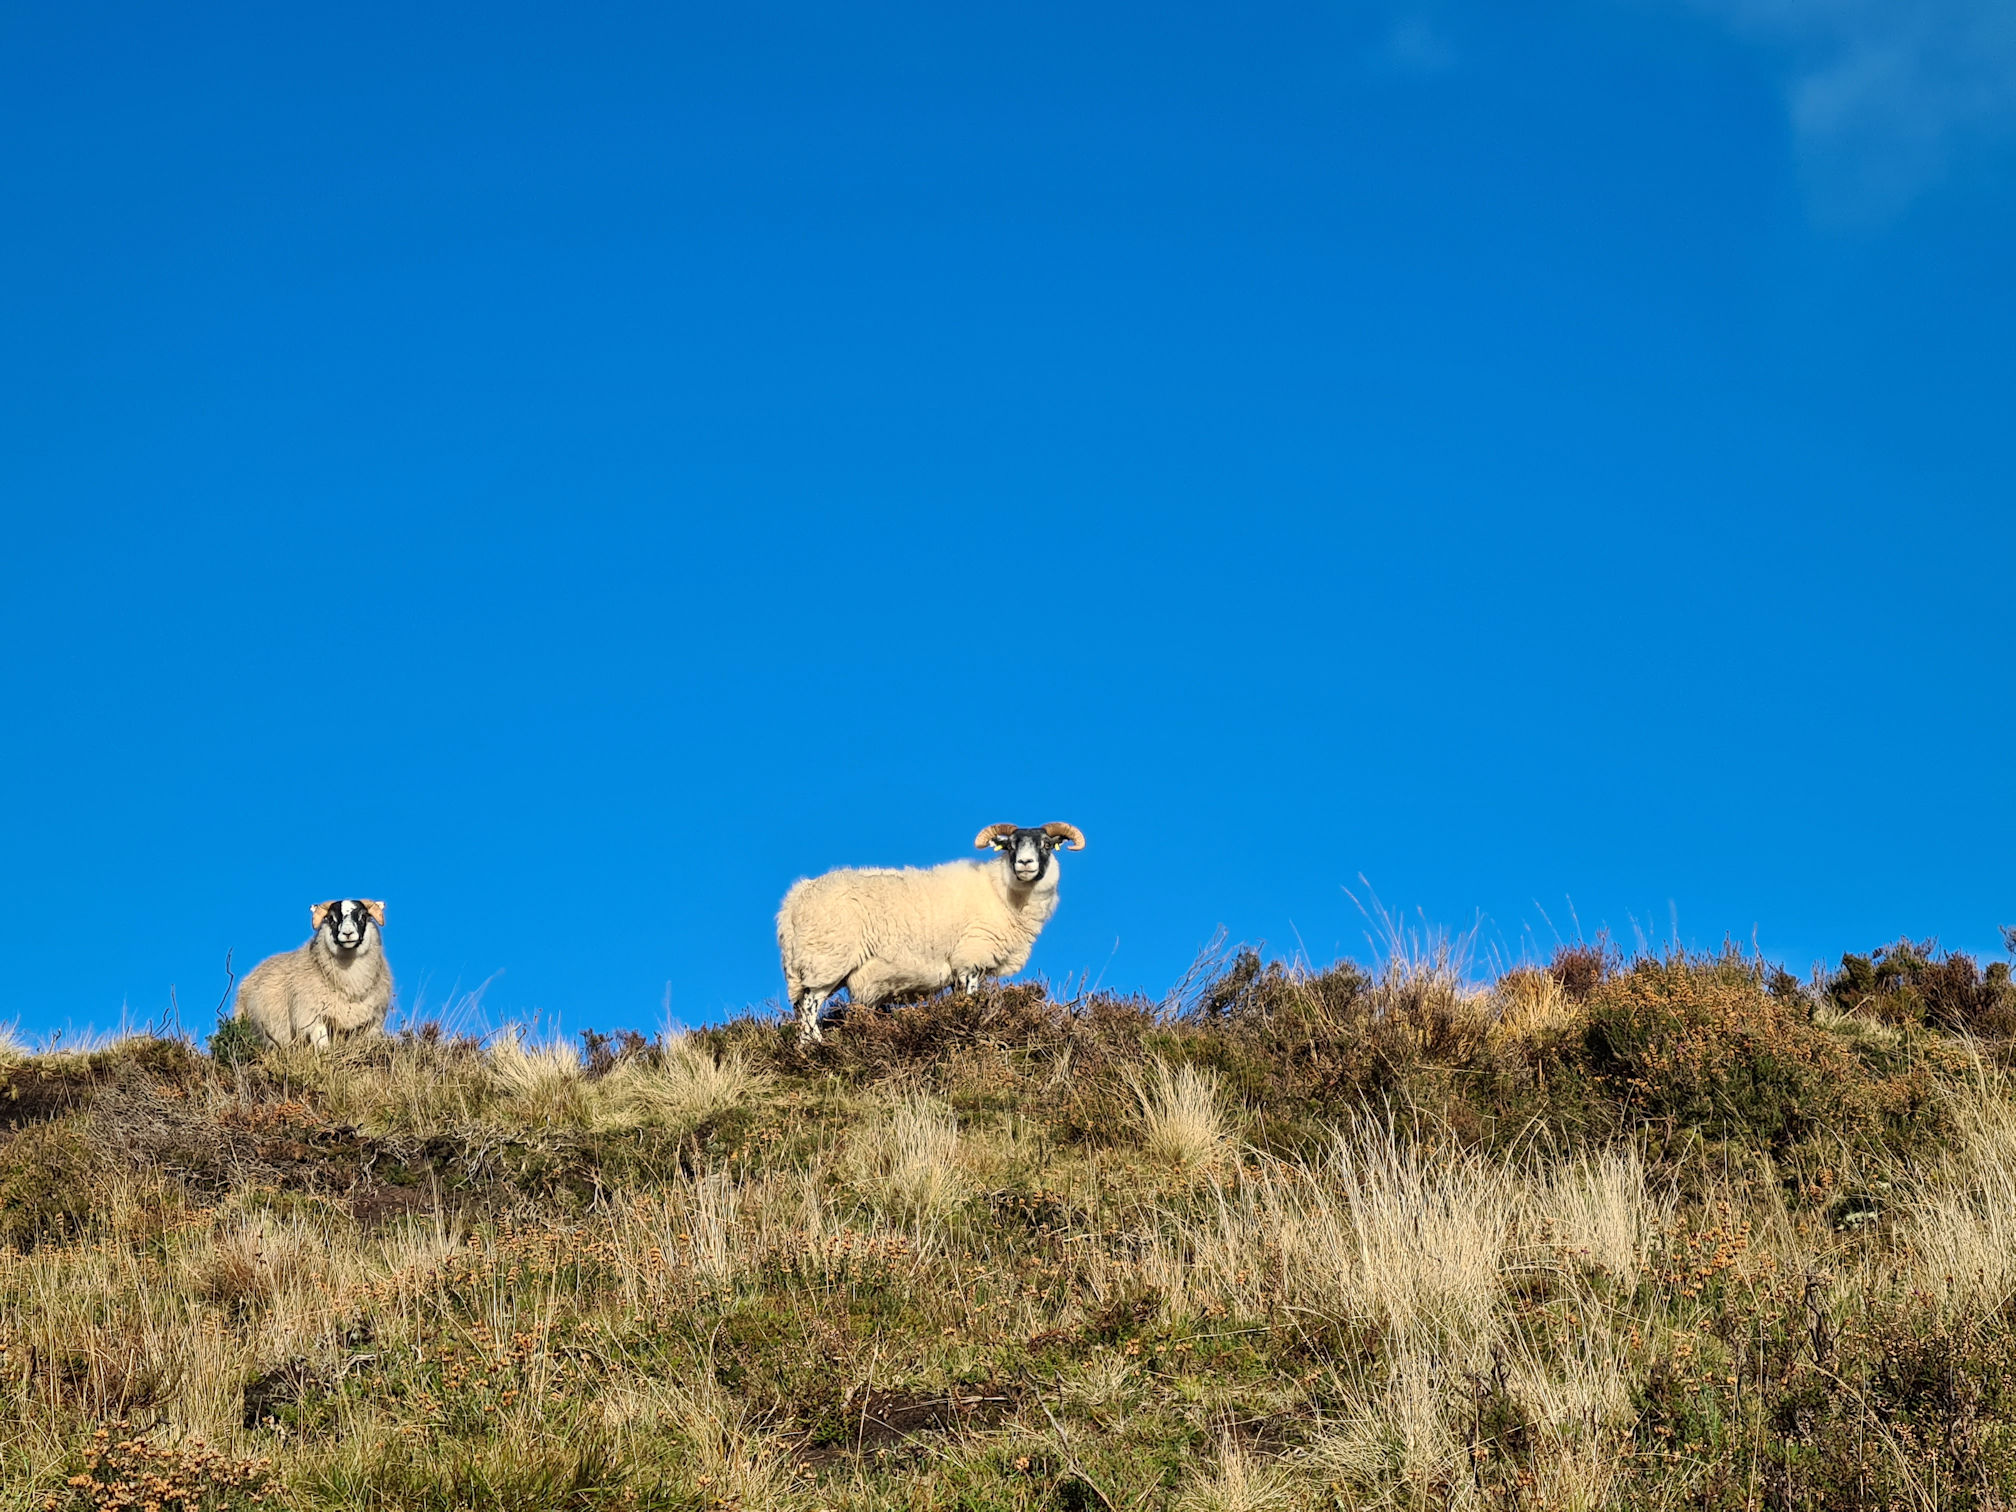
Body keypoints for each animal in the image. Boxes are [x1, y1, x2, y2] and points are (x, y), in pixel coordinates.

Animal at [235, 899, 393, 1049]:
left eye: (363, 916)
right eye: (331, 919)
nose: (348, 934)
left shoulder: (371, 1024)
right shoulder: (312, 1017)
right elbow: (323, 1045)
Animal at [777, 822, 1085, 1042]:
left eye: (1046, 845)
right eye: (1010, 846)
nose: (1025, 864)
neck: (1001, 890)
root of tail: (794, 900)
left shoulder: (962, 966)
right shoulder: (971, 957)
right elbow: (969, 1001)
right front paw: (970, 1027)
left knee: (800, 1007)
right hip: (826, 958)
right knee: (809, 1006)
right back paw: (816, 1045)